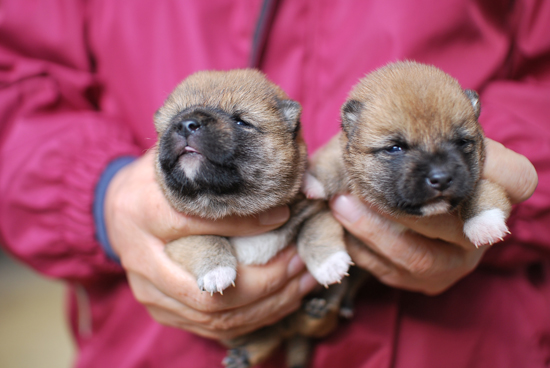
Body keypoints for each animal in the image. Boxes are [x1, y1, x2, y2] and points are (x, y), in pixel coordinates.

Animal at [308, 60, 516, 249]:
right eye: (395, 148)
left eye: (461, 142)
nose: (441, 179)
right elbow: (333, 160)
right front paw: (314, 181)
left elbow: (482, 188)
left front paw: (484, 222)